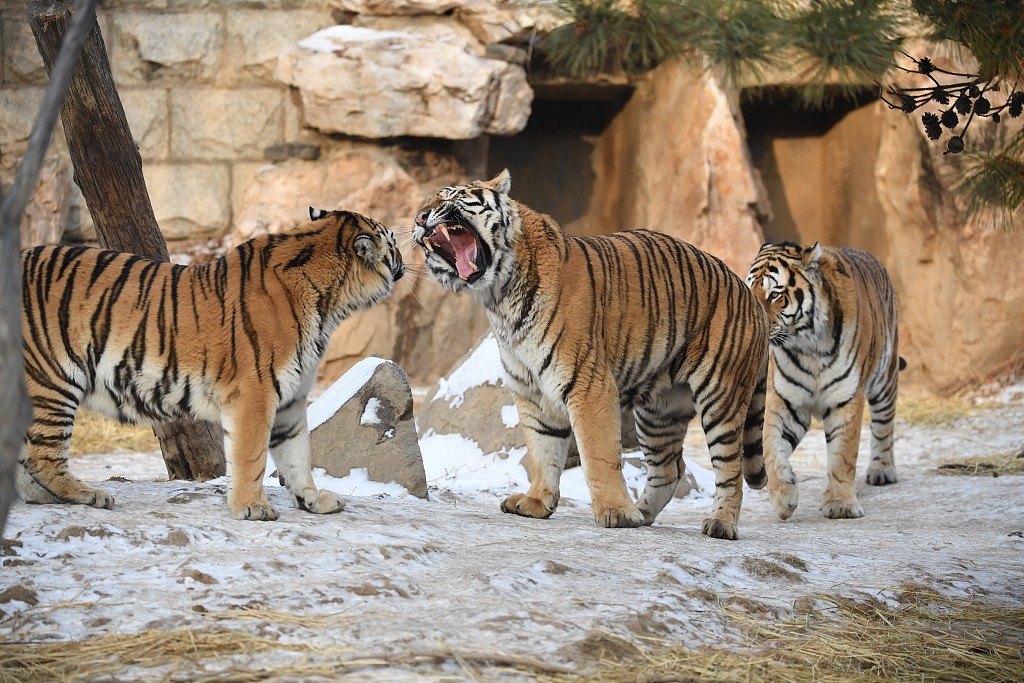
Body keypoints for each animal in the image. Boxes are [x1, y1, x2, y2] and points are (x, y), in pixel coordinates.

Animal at [18, 208, 403, 518]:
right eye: (392, 240)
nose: (404, 252)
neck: (329, 304)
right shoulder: (255, 393)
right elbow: (251, 457)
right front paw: (252, 507)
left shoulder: (291, 400)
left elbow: (297, 454)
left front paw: (313, 500)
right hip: (51, 380)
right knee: (41, 457)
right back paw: (87, 494)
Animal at [413, 169, 770, 540]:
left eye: (450, 197)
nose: (419, 218)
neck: (498, 297)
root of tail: (750, 294)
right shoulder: (532, 392)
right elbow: (542, 449)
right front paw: (537, 502)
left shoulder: (588, 383)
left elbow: (597, 455)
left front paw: (615, 512)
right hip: (660, 411)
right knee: (670, 468)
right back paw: (643, 512)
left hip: (721, 396)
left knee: (730, 469)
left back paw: (719, 524)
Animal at [745, 242, 905, 520]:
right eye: (749, 287)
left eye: (775, 294)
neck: (808, 346)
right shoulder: (785, 401)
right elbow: (771, 447)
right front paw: (784, 496)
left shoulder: (846, 399)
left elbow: (843, 454)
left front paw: (841, 504)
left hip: (885, 379)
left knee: (884, 425)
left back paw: (882, 470)